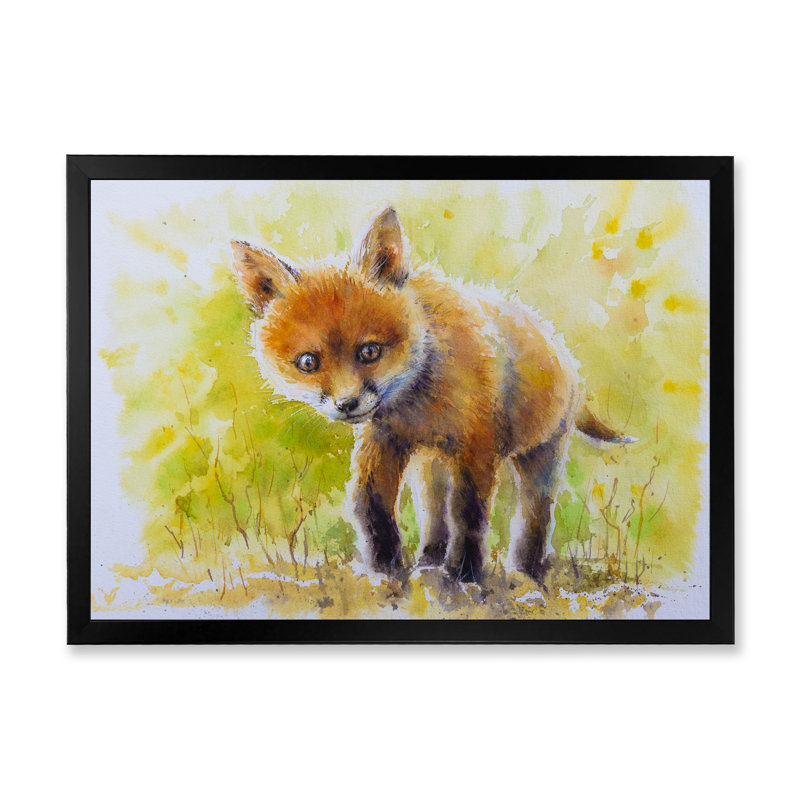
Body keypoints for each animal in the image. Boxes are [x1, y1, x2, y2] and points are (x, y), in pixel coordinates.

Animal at [231, 206, 634, 584]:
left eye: (369, 352)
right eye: (308, 362)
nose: (347, 404)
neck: (418, 404)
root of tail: (563, 350)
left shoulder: (478, 447)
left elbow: (469, 514)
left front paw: (465, 573)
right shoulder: (383, 441)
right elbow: (371, 506)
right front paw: (384, 569)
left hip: (540, 455)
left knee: (534, 514)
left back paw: (525, 570)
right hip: (430, 465)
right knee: (434, 513)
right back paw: (429, 560)